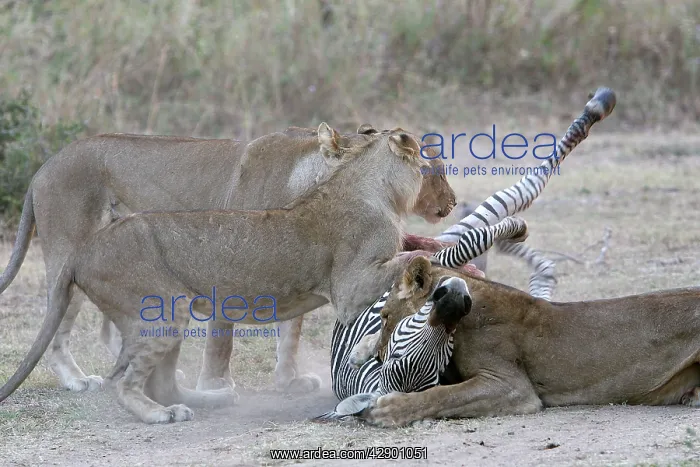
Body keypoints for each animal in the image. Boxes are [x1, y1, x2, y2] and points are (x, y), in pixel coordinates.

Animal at [0, 123, 461, 424]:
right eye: (433, 170)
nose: (453, 203)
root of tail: (43, 169)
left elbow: (290, 333)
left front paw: (288, 380)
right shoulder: (340, 288)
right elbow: (222, 344)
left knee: (146, 366)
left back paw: (203, 398)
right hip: (85, 266)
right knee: (73, 340)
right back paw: (98, 387)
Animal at [340, 256, 700, 427]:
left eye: (385, 316)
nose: (379, 359)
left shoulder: (511, 386)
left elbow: (443, 395)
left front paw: (387, 409)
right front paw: (362, 350)